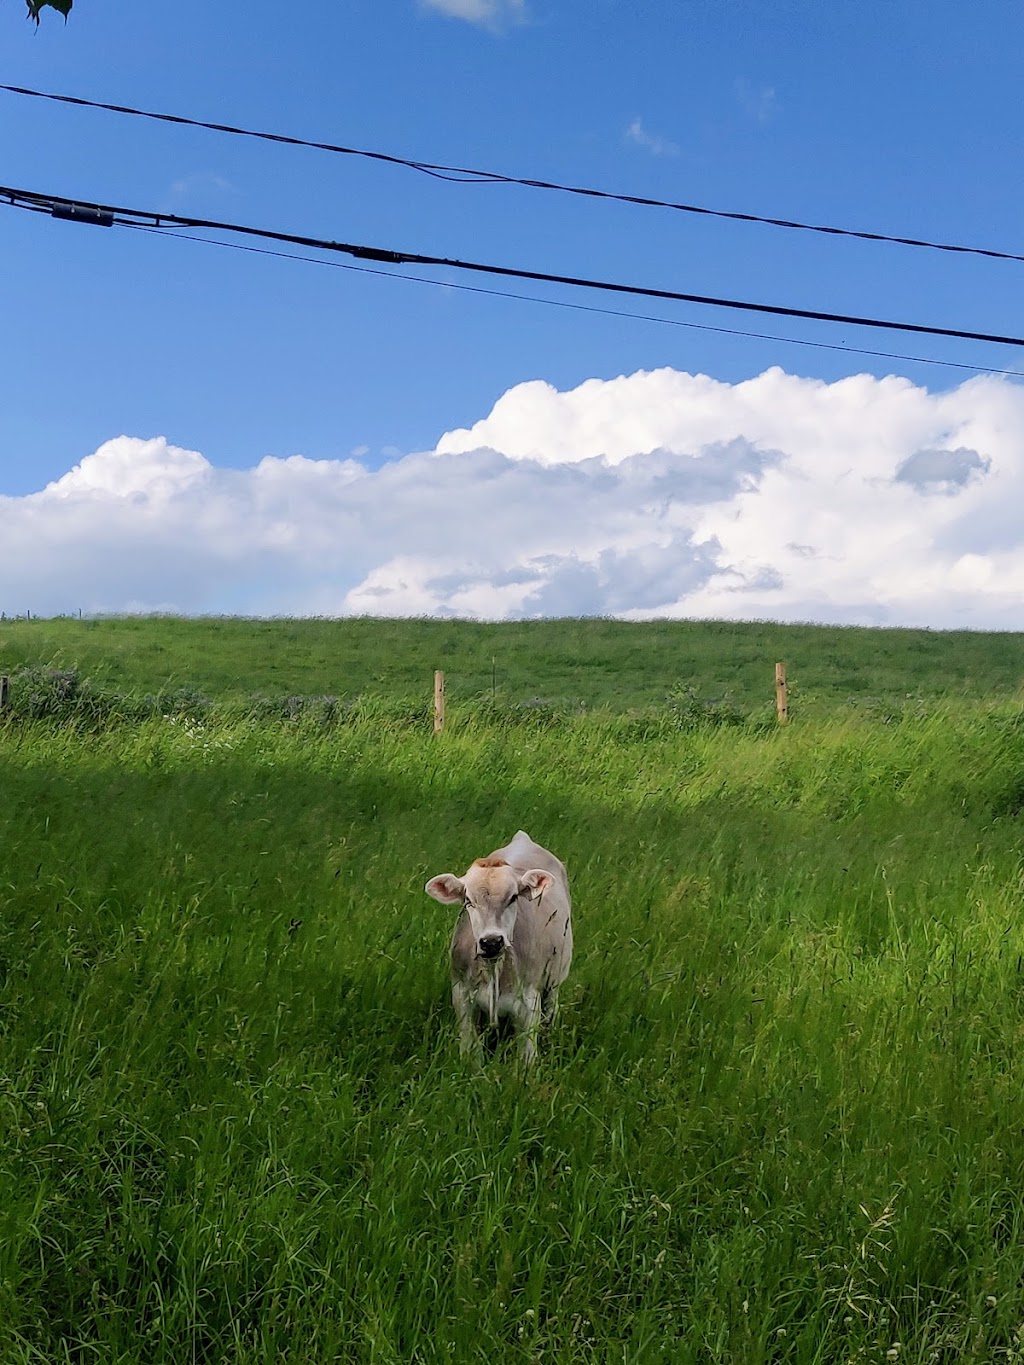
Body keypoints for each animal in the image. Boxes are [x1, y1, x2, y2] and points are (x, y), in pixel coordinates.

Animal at [423, 829, 573, 1064]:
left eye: (513, 897)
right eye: (468, 900)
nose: (492, 941)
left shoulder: (529, 1002)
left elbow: (527, 1058)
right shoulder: (462, 996)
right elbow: (471, 1053)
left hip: (554, 981)